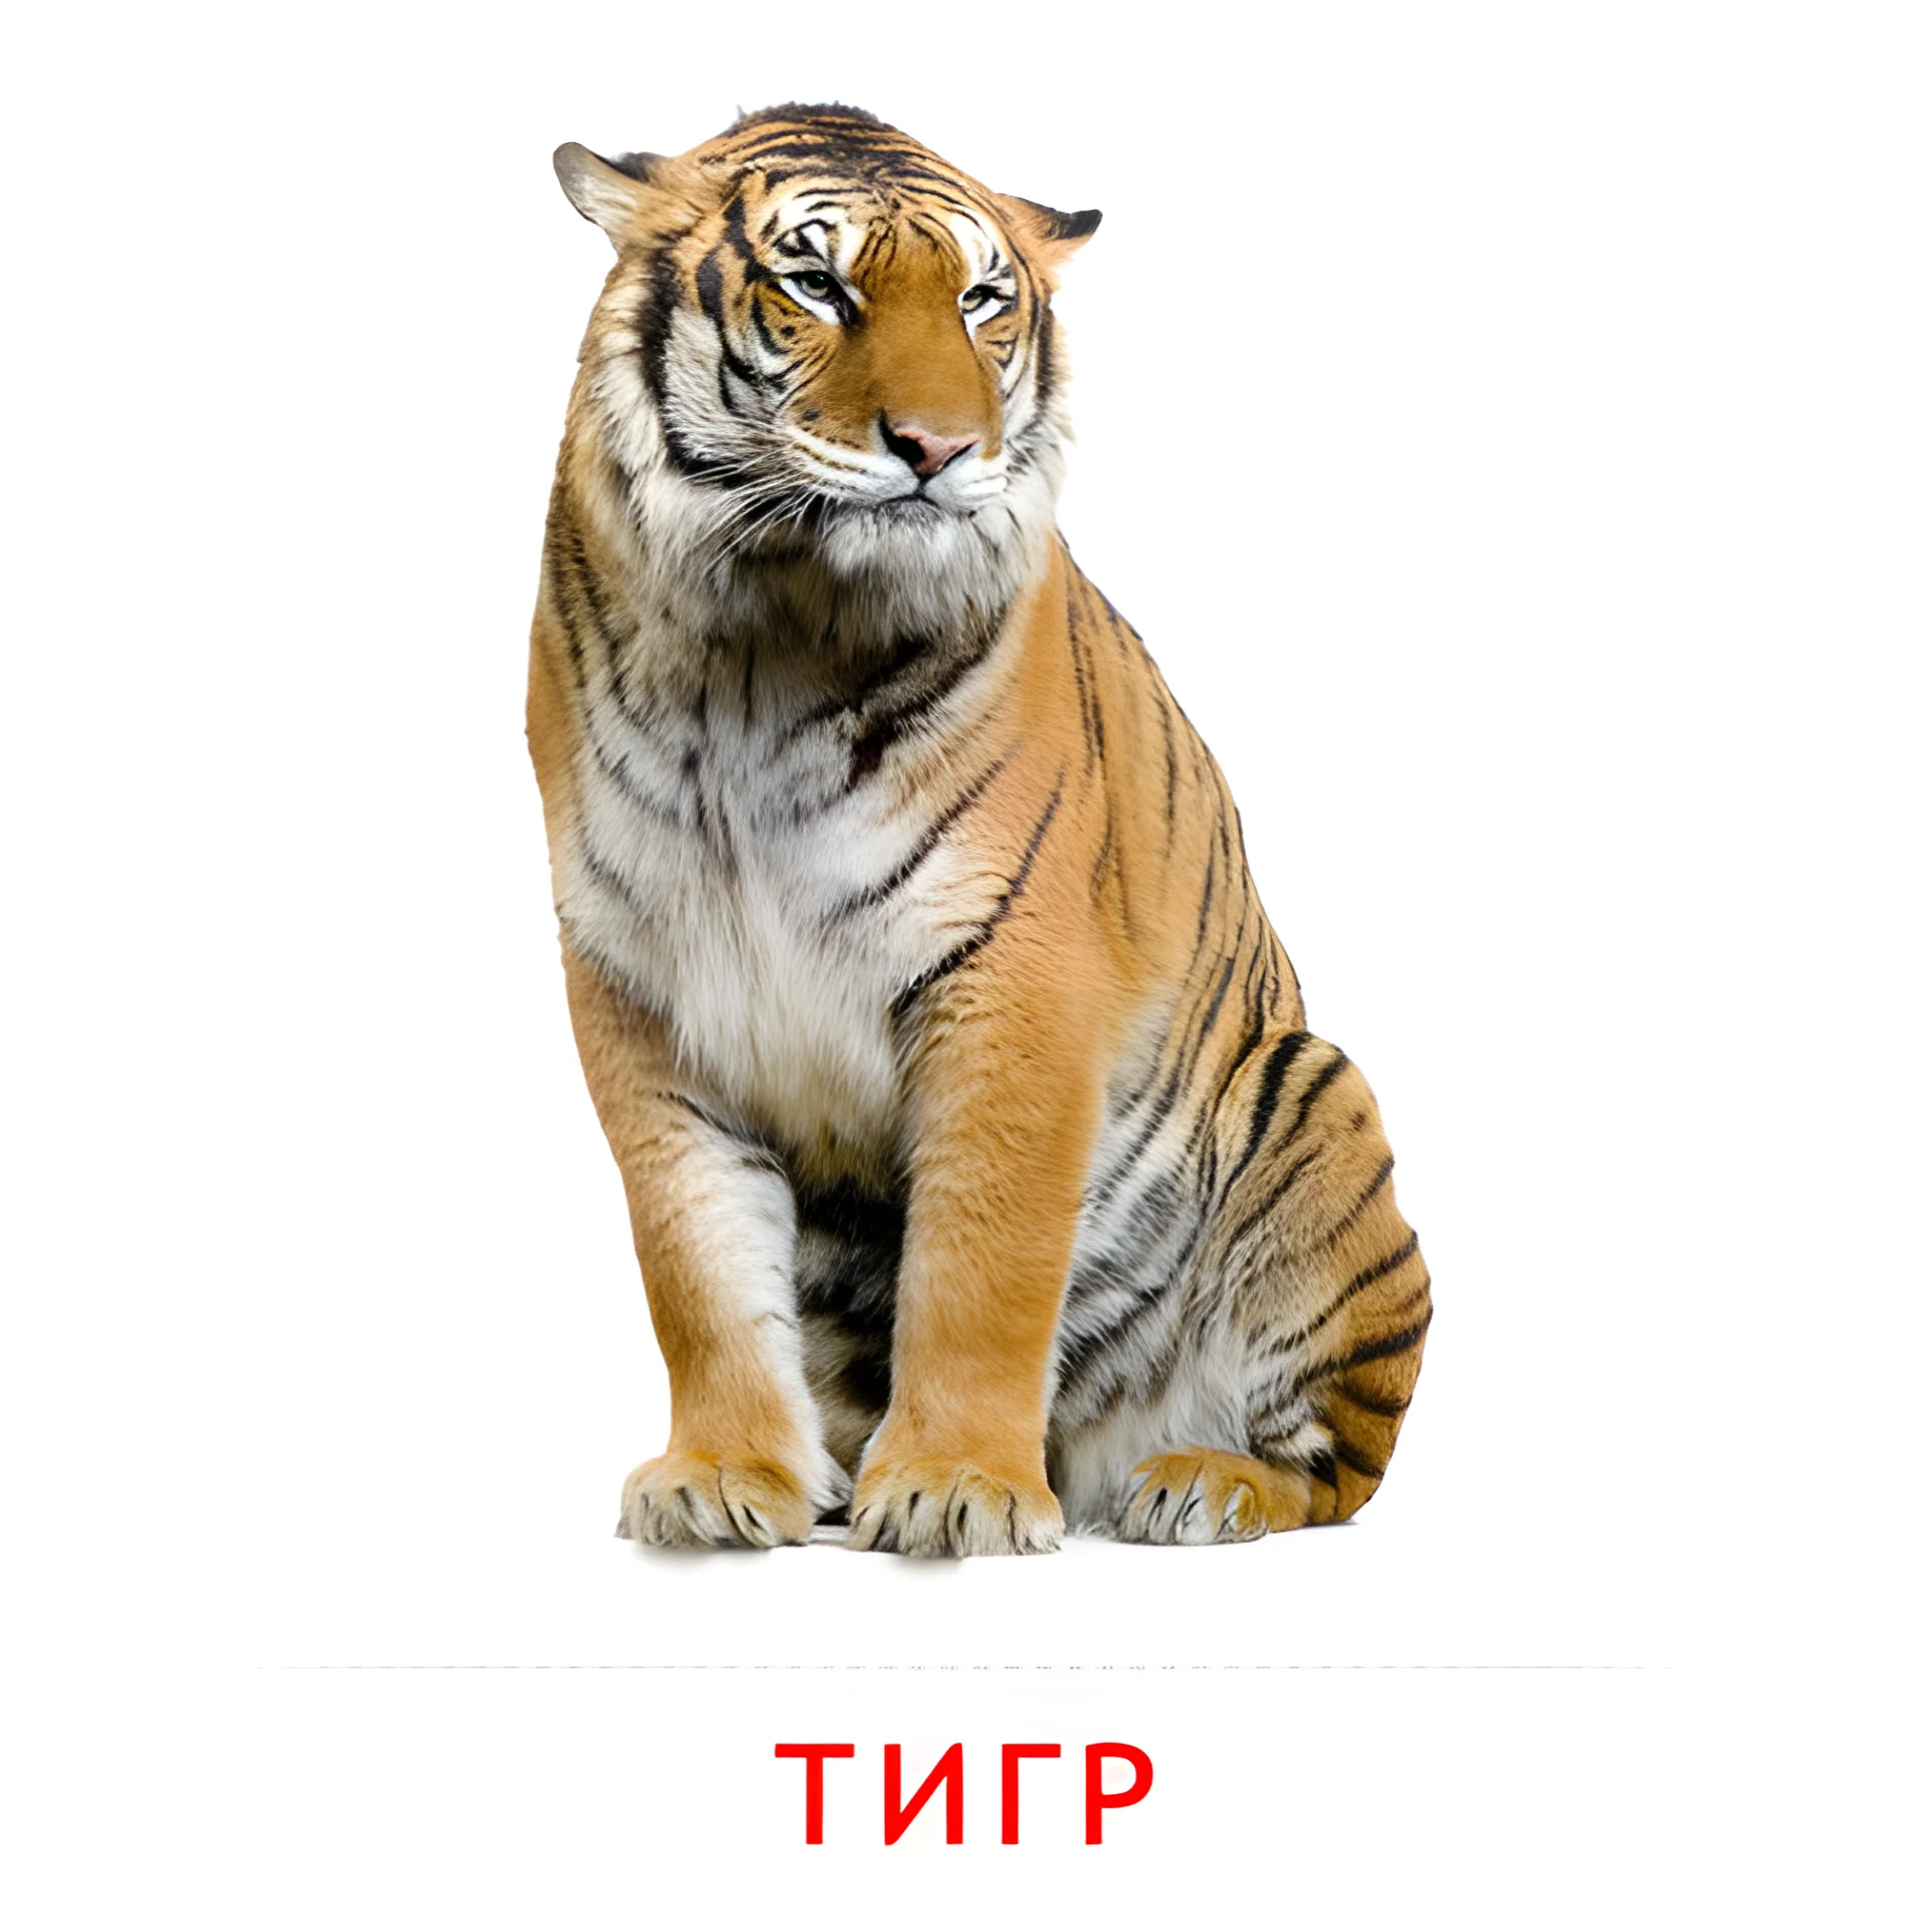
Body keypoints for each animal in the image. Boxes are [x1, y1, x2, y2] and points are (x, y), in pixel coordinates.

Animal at [527, 103, 1430, 1556]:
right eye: (816, 283)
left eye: (979, 299)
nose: (939, 450)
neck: (760, 642)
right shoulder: (637, 982)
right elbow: (697, 1263)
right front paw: (726, 1475)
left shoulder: (1010, 971)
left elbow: (981, 1257)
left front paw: (956, 1483)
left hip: (1315, 1096)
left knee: (1338, 1468)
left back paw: (1197, 1482)